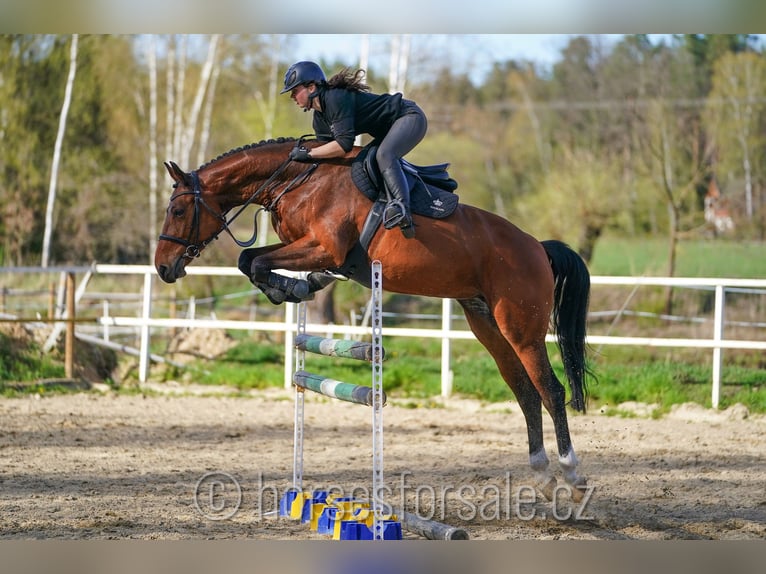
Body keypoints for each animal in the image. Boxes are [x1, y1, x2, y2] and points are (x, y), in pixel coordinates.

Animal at [154, 137, 592, 502]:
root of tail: (537, 246)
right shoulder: (302, 245)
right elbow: (250, 259)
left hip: (521, 329)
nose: (162, 268)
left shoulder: (323, 247)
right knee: (525, 392)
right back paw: (542, 474)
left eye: (177, 209)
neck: (298, 181)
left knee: (551, 391)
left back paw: (571, 474)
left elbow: (256, 260)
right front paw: (297, 287)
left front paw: (292, 287)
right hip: (488, 326)